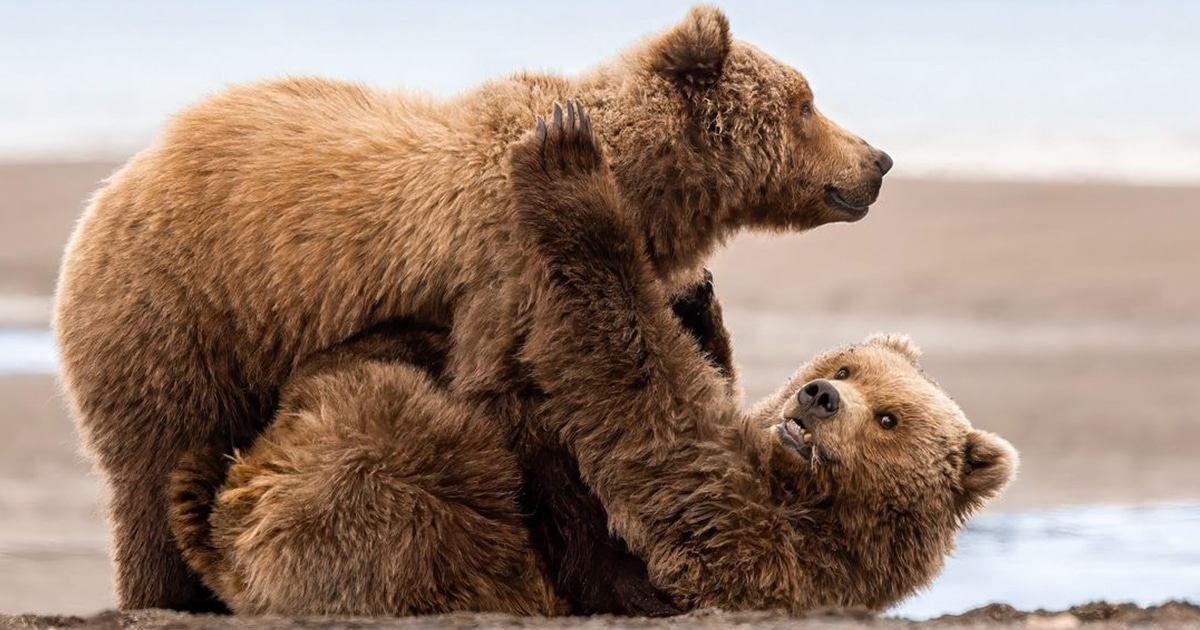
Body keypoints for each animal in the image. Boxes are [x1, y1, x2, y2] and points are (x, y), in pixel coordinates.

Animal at [54, 3, 892, 609]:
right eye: (806, 102)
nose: (878, 159)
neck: (638, 185)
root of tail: (111, 187)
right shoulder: (506, 271)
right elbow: (534, 419)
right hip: (180, 314)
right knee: (153, 471)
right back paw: (163, 589)